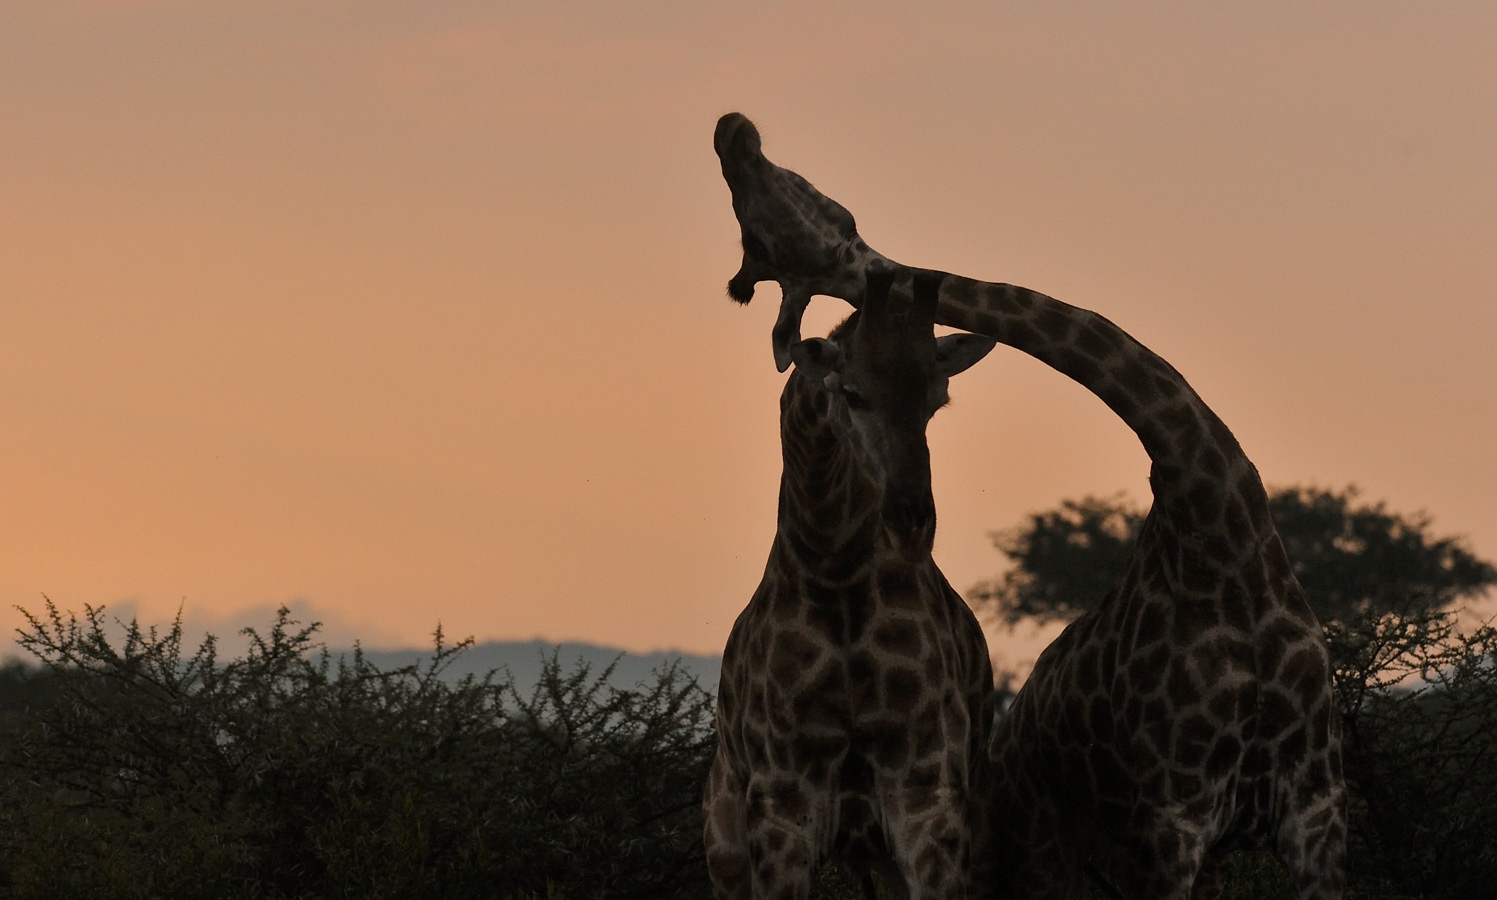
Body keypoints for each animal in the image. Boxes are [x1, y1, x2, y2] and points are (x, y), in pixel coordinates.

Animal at [703, 262, 1005, 898]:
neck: (833, 572)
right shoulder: (781, 801)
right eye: (852, 392)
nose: (913, 522)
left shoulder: (925, 794)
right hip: (725, 846)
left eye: (936, 400)